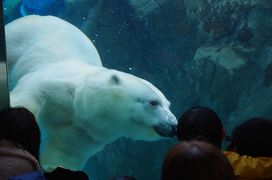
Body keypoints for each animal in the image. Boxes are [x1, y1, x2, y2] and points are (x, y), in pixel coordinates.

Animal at [6, 15, 177, 170]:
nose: (174, 125)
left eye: (169, 104)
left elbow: (64, 153)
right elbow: (34, 88)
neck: (82, 106)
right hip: (21, 36)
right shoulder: (60, 85)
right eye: (154, 102)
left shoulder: (88, 134)